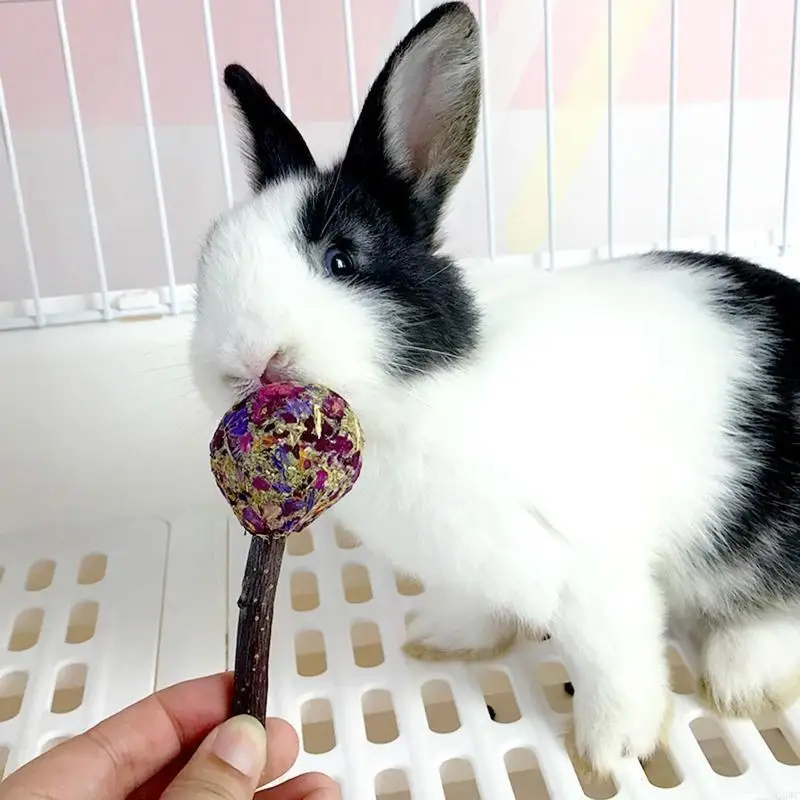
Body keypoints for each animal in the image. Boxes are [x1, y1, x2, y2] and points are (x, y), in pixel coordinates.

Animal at [190, 0, 800, 777]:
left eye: (342, 259)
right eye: (208, 259)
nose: (245, 360)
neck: (427, 389)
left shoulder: (591, 566)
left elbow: (614, 658)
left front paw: (615, 748)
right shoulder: (482, 566)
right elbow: (484, 606)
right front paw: (443, 635)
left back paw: (743, 678)